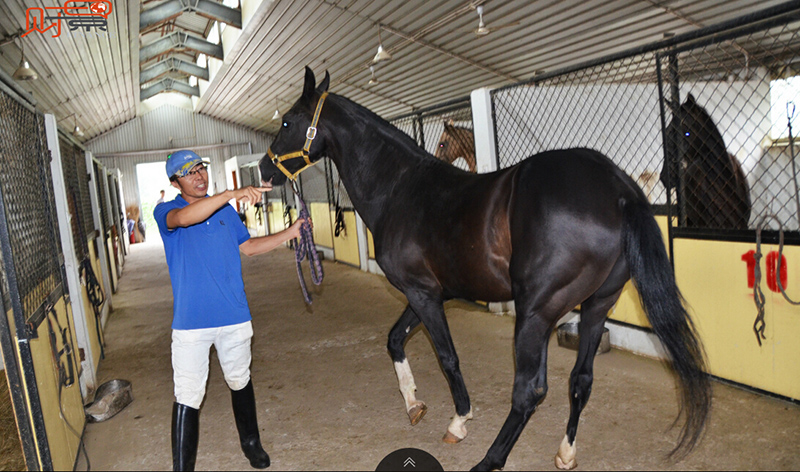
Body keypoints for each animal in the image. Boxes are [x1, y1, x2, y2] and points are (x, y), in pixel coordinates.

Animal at [260, 68, 708, 470]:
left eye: (287, 121)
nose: (264, 171)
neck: (401, 189)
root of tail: (617, 187)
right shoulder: (430, 293)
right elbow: (394, 340)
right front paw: (414, 404)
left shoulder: (423, 293)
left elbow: (447, 357)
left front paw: (459, 420)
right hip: (597, 307)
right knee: (580, 381)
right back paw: (565, 454)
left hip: (535, 313)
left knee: (529, 391)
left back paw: (489, 460)